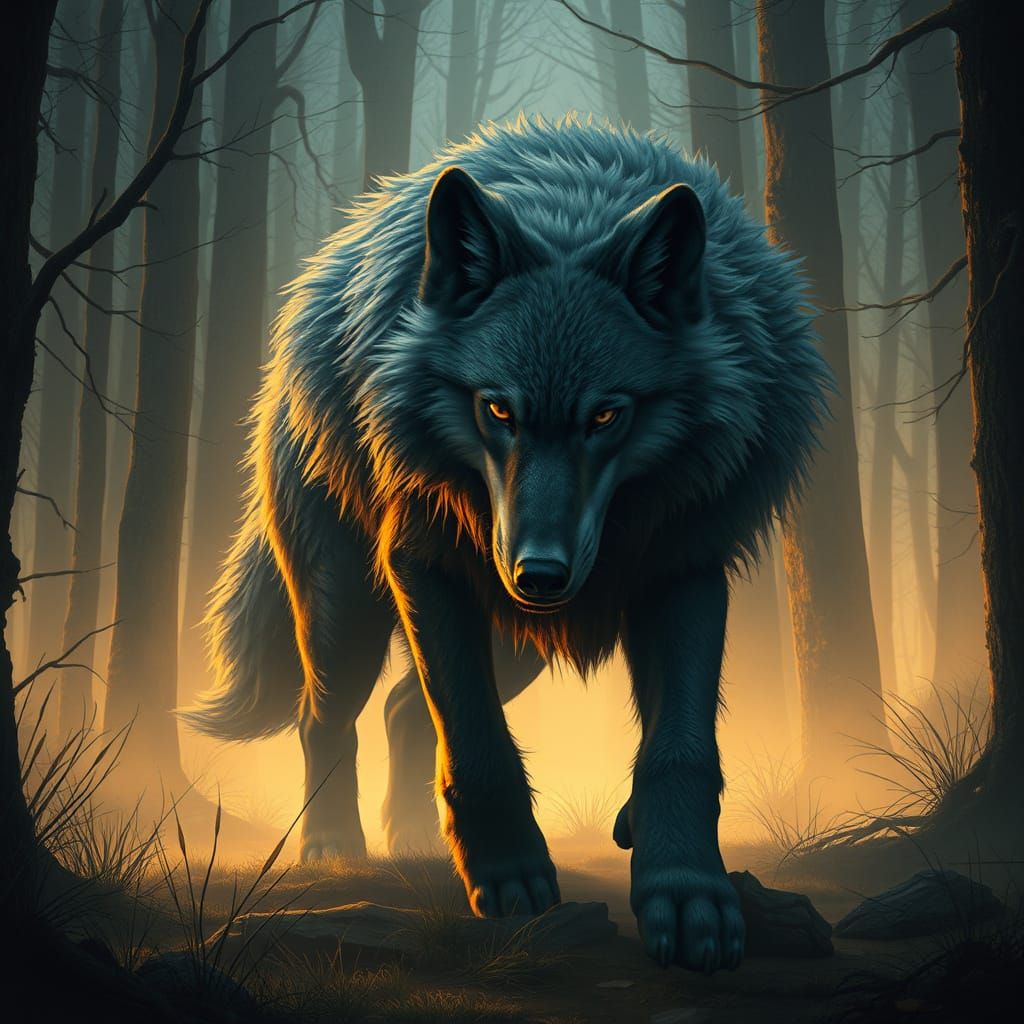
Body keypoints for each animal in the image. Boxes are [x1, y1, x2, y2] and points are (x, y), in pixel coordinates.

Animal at [182, 115, 830, 973]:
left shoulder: (684, 565)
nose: (541, 573)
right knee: (324, 716)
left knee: (401, 711)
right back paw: (332, 848)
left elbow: (681, 748)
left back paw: (416, 841)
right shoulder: (423, 559)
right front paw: (510, 874)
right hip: (353, 605)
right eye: (497, 410)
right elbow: (475, 737)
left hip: (519, 638)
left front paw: (686, 887)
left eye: (606, 415)